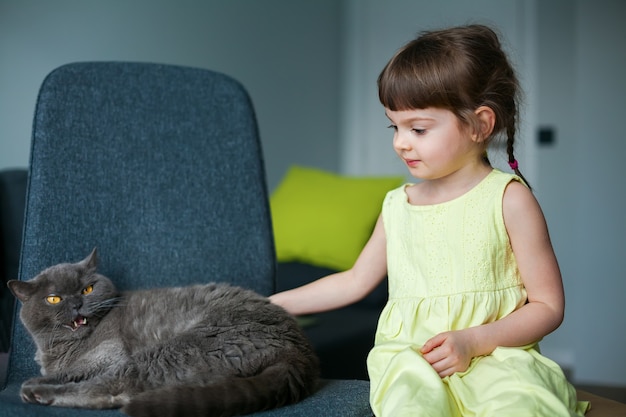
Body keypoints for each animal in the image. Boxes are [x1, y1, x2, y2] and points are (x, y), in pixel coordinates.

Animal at [8, 249, 322, 414]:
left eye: (87, 289)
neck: (58, 348)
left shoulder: (109, 352)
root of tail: (300, 353)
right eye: (54, 299)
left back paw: (37, 391)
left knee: (112, 387)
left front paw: (39, 379)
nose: (76, 303)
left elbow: (75, 370)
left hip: (177, 349)